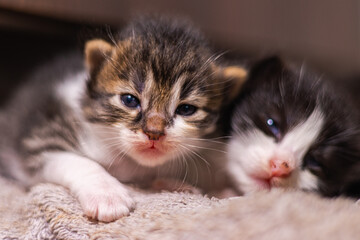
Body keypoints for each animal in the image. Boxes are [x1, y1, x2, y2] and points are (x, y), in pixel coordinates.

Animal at [0, 17, 245, 223]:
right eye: (129, 100)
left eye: (186, 109)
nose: (154, 132)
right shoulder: (40, 138)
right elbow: (77, 161)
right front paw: (107, 195)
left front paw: (177, 185)